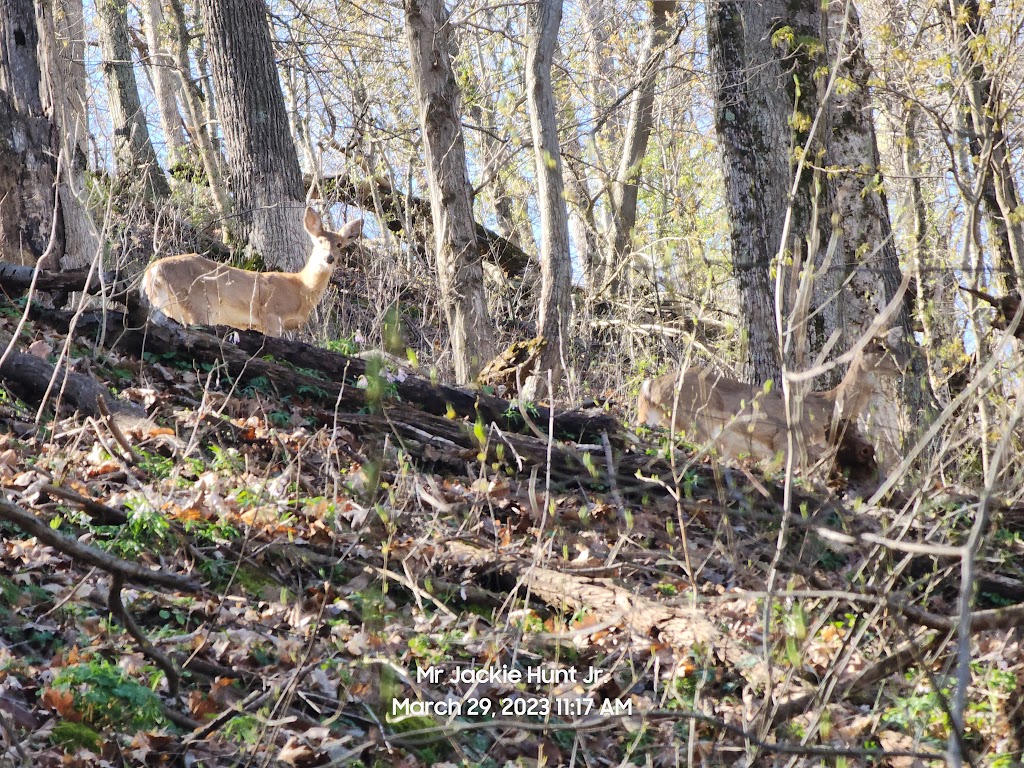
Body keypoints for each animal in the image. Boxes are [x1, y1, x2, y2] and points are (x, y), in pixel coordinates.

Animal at [140, 207, 364, 335]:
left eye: (340, 244)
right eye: (319, 241)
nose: (329, 258)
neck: (301, 288)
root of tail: (152, 272)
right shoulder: (272, 313)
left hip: (172, 307)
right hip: (196, 302)